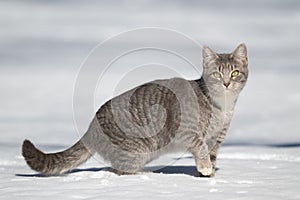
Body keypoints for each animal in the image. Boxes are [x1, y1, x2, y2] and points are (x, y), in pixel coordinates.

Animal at [21, 43, 248, 177]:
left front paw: (209, 175)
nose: (226, 83)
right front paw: (205, 167)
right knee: (116, 170)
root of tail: (92, 125)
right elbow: (200, 148)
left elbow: (211, 155)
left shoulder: (217, 139)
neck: (221, 106)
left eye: (235, 73)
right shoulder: (187, 130)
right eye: (216, 74)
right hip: (135, 152)